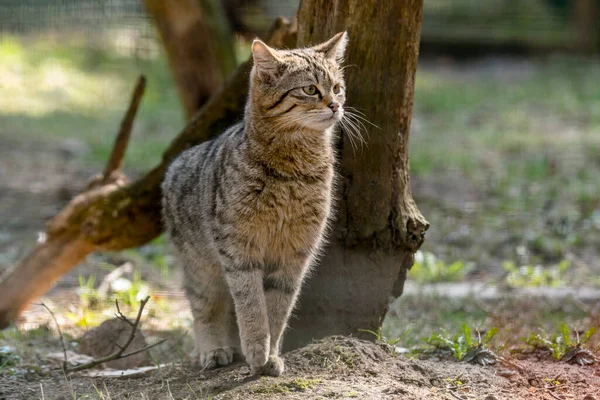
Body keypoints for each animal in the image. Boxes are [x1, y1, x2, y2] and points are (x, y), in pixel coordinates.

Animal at [161, 30, 346, 376]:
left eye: (338, 87)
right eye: (310, 89)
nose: (336, 105)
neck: (294, 171)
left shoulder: (295, 253)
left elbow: (277, 309)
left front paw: (270, 355)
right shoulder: (239, 249)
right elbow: (251, 305)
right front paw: (257, 349)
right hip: (201, 267)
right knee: (205, 308)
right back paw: (214, 349)